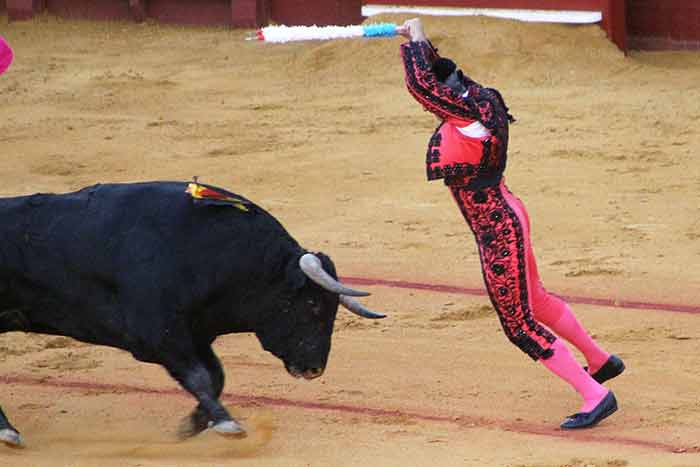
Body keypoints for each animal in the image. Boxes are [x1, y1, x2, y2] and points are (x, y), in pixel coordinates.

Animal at [0, 181, 382, 448]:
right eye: (313, 305)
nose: (315, 369)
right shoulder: (158, 337)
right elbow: (199, 377)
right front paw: (226, 424)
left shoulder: (197, 335)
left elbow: (217, 376)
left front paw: (194, 423)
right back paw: (9, 433)